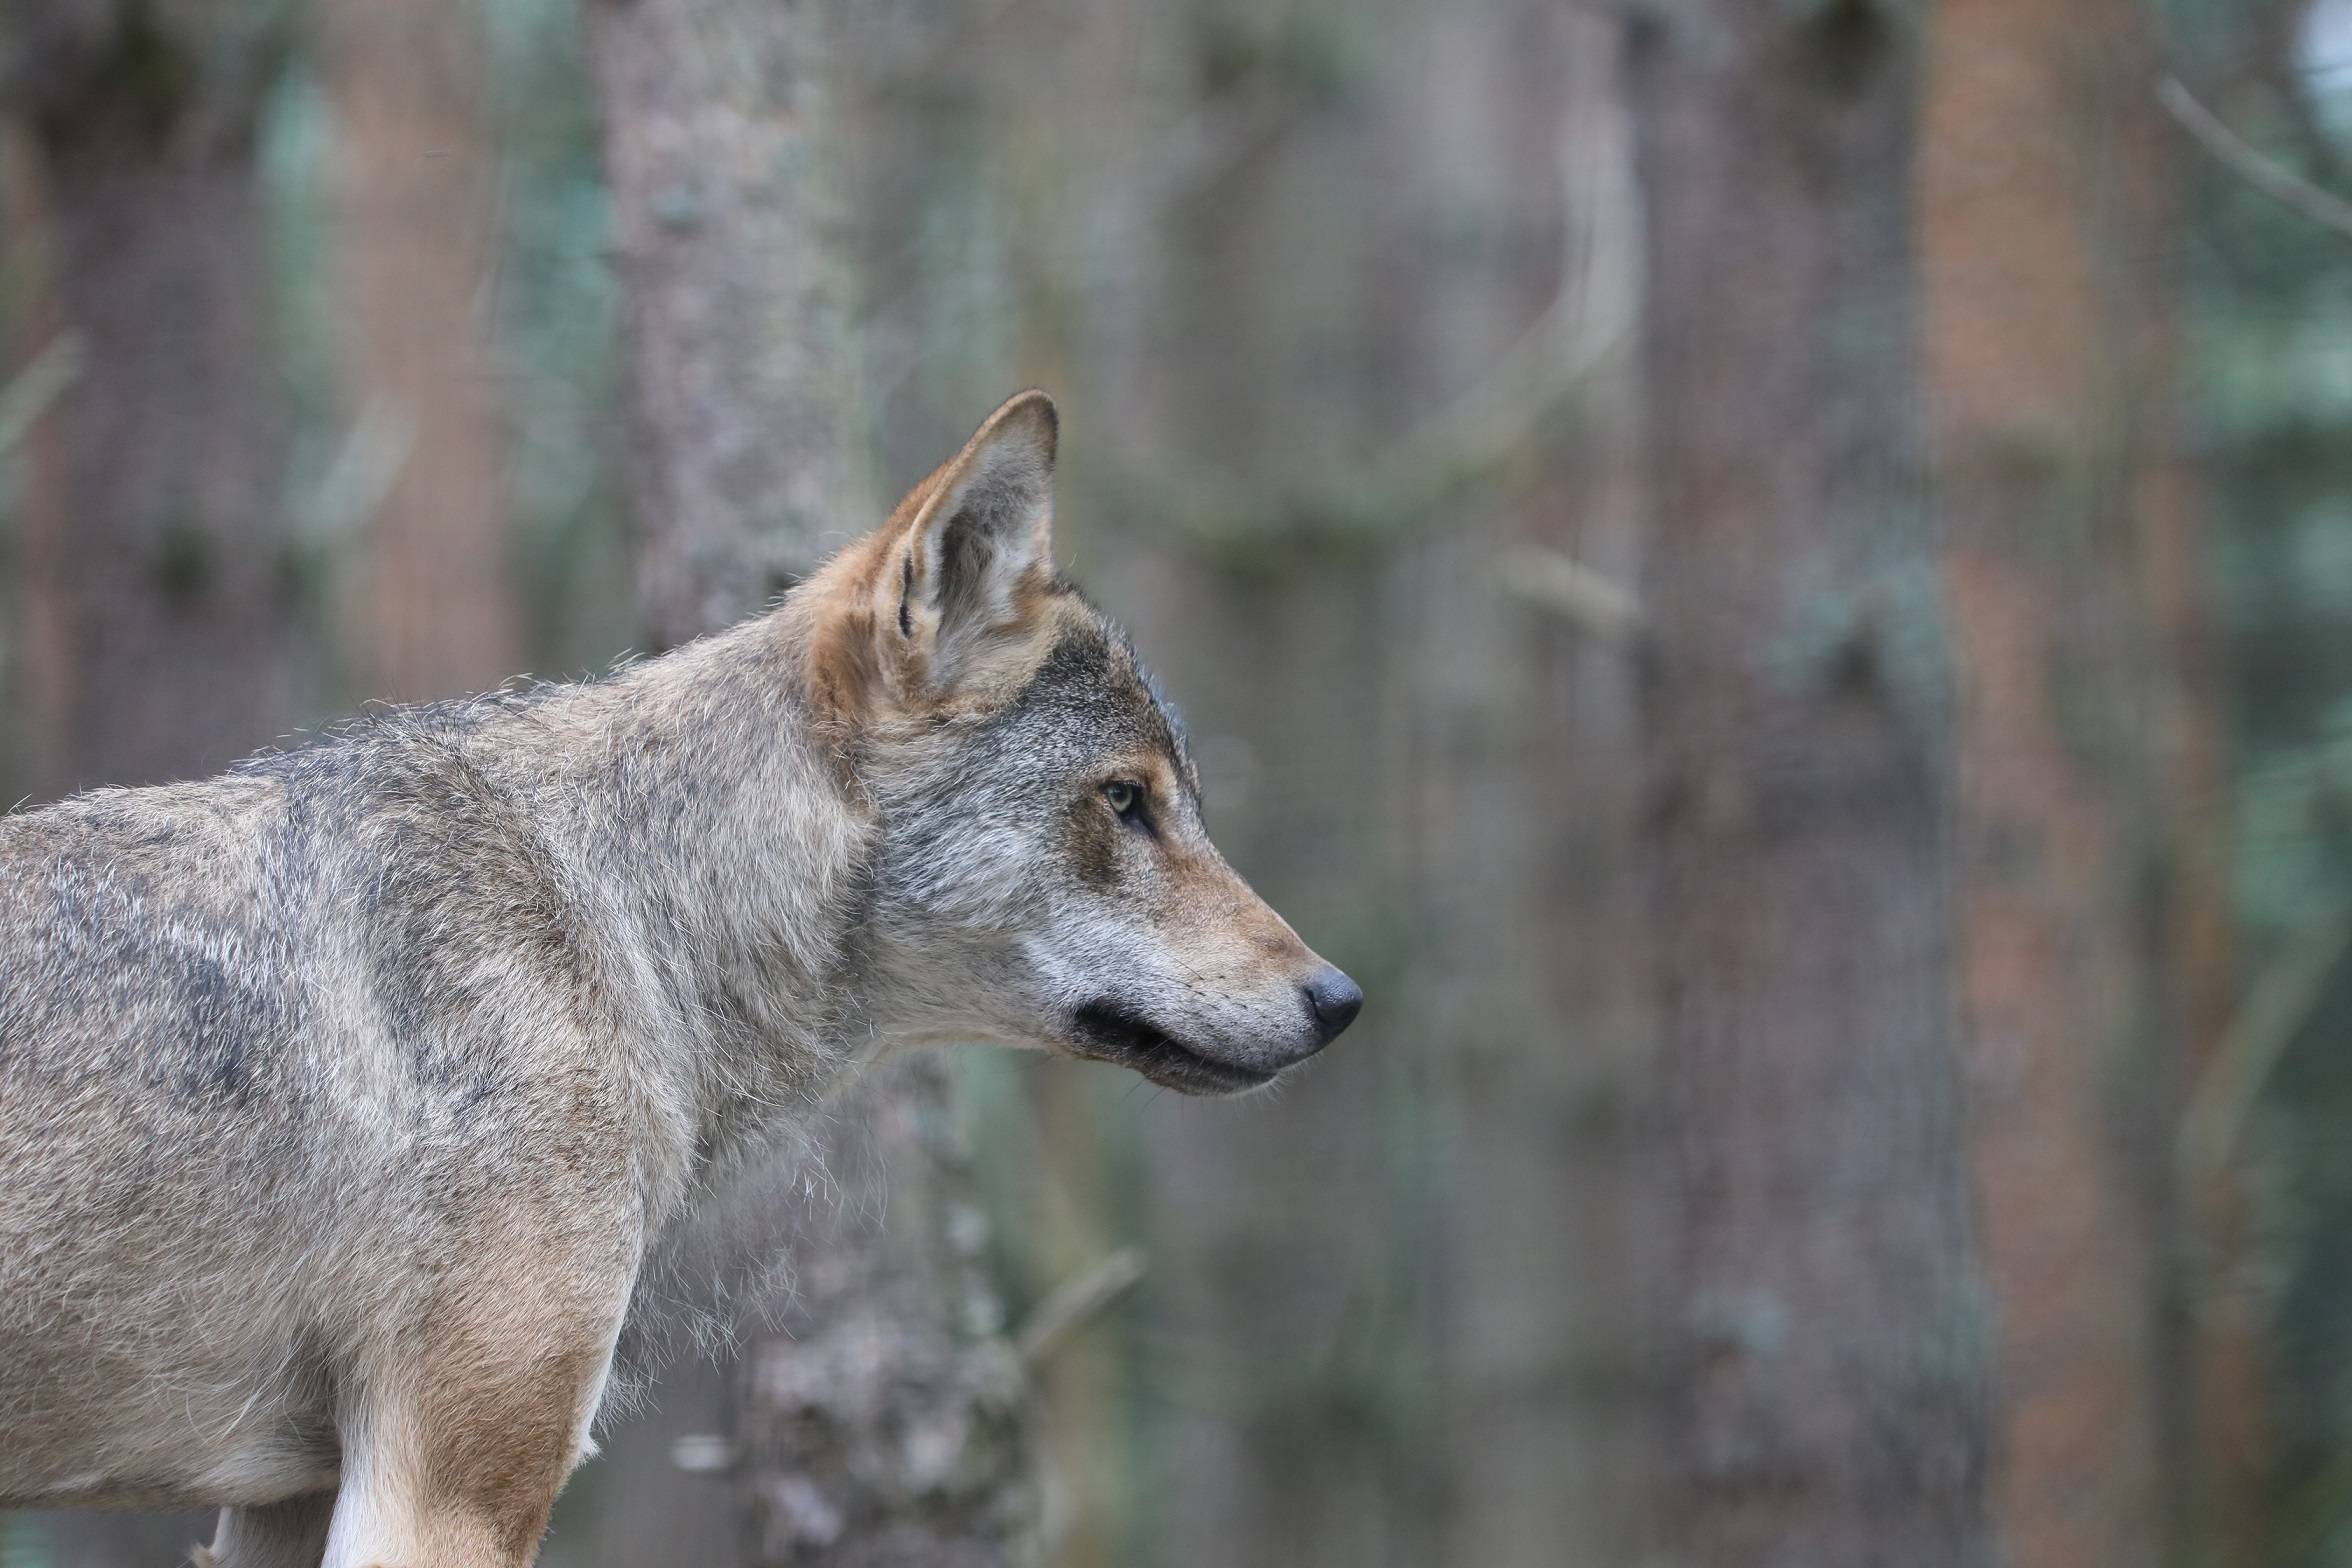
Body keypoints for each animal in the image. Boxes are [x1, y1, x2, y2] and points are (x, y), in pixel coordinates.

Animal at [0, 391, 1360, 1567]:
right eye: (1126, 801)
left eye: (1176, 800)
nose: (1341, 999)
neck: (620, 917)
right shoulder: (444, 1498)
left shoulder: (302, 1499)